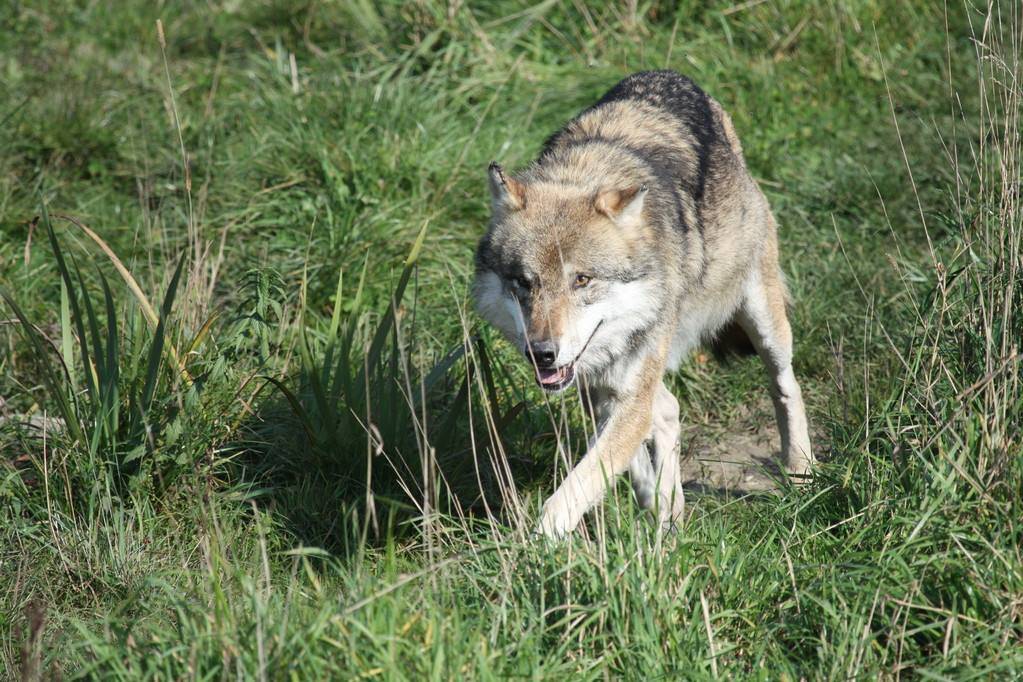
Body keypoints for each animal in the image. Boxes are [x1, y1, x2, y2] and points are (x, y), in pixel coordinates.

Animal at [472, 70, 814, 539]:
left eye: (582, 280)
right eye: (524, 282)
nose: (542, 353)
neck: (586, 173)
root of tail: (674, 75)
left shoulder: (627, 395)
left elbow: (567, 498)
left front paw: (535, 549)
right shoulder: (600, 388)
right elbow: (619, 459)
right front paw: (654, 504)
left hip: (763, 325)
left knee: (785, 385)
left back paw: (800, 472)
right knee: (669, 411)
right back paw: (667, 516)